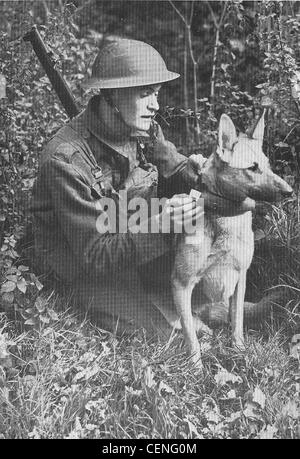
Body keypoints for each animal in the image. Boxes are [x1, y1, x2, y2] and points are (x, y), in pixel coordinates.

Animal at [171, 112, 292, 370]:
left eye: (267, 165)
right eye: (252, 167)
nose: (290, 191)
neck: (225, 217)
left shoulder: (240, 278)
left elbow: (237, 322)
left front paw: (239, 351)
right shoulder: (181, 284)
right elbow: (191, 338)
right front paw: (196, 368)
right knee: (196, 328)